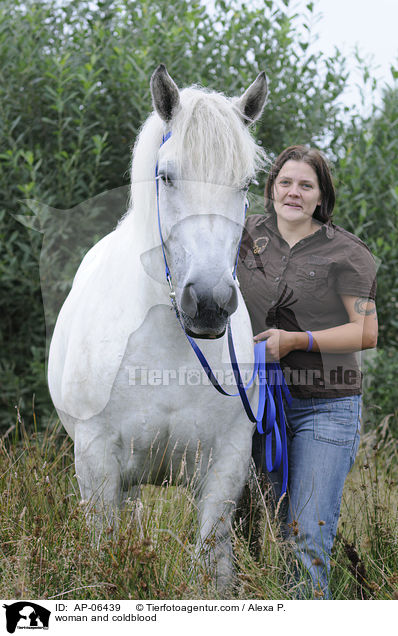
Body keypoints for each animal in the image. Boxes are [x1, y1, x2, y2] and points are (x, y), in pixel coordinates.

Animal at [49, 66, 268, 592]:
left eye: (246, 183)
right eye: (167, 176)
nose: (208, 303)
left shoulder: (226, 468)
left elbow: (212, 567)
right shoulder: (98, 467)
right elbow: (104, 557)